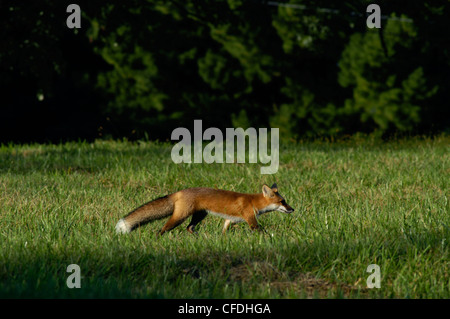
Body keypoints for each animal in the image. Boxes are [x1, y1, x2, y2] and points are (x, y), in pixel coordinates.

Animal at [114, 184, 294, 236]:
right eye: (282, 201)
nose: (292, 209)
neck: (253, 201)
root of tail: (178, 192)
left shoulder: (229, 219)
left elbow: (224, 231)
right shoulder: (251, 220)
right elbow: (262, 231)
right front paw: (273, 237)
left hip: (199, 216)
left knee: (189, 228)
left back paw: (199, 237)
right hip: (179, 218)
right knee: (162, 229)